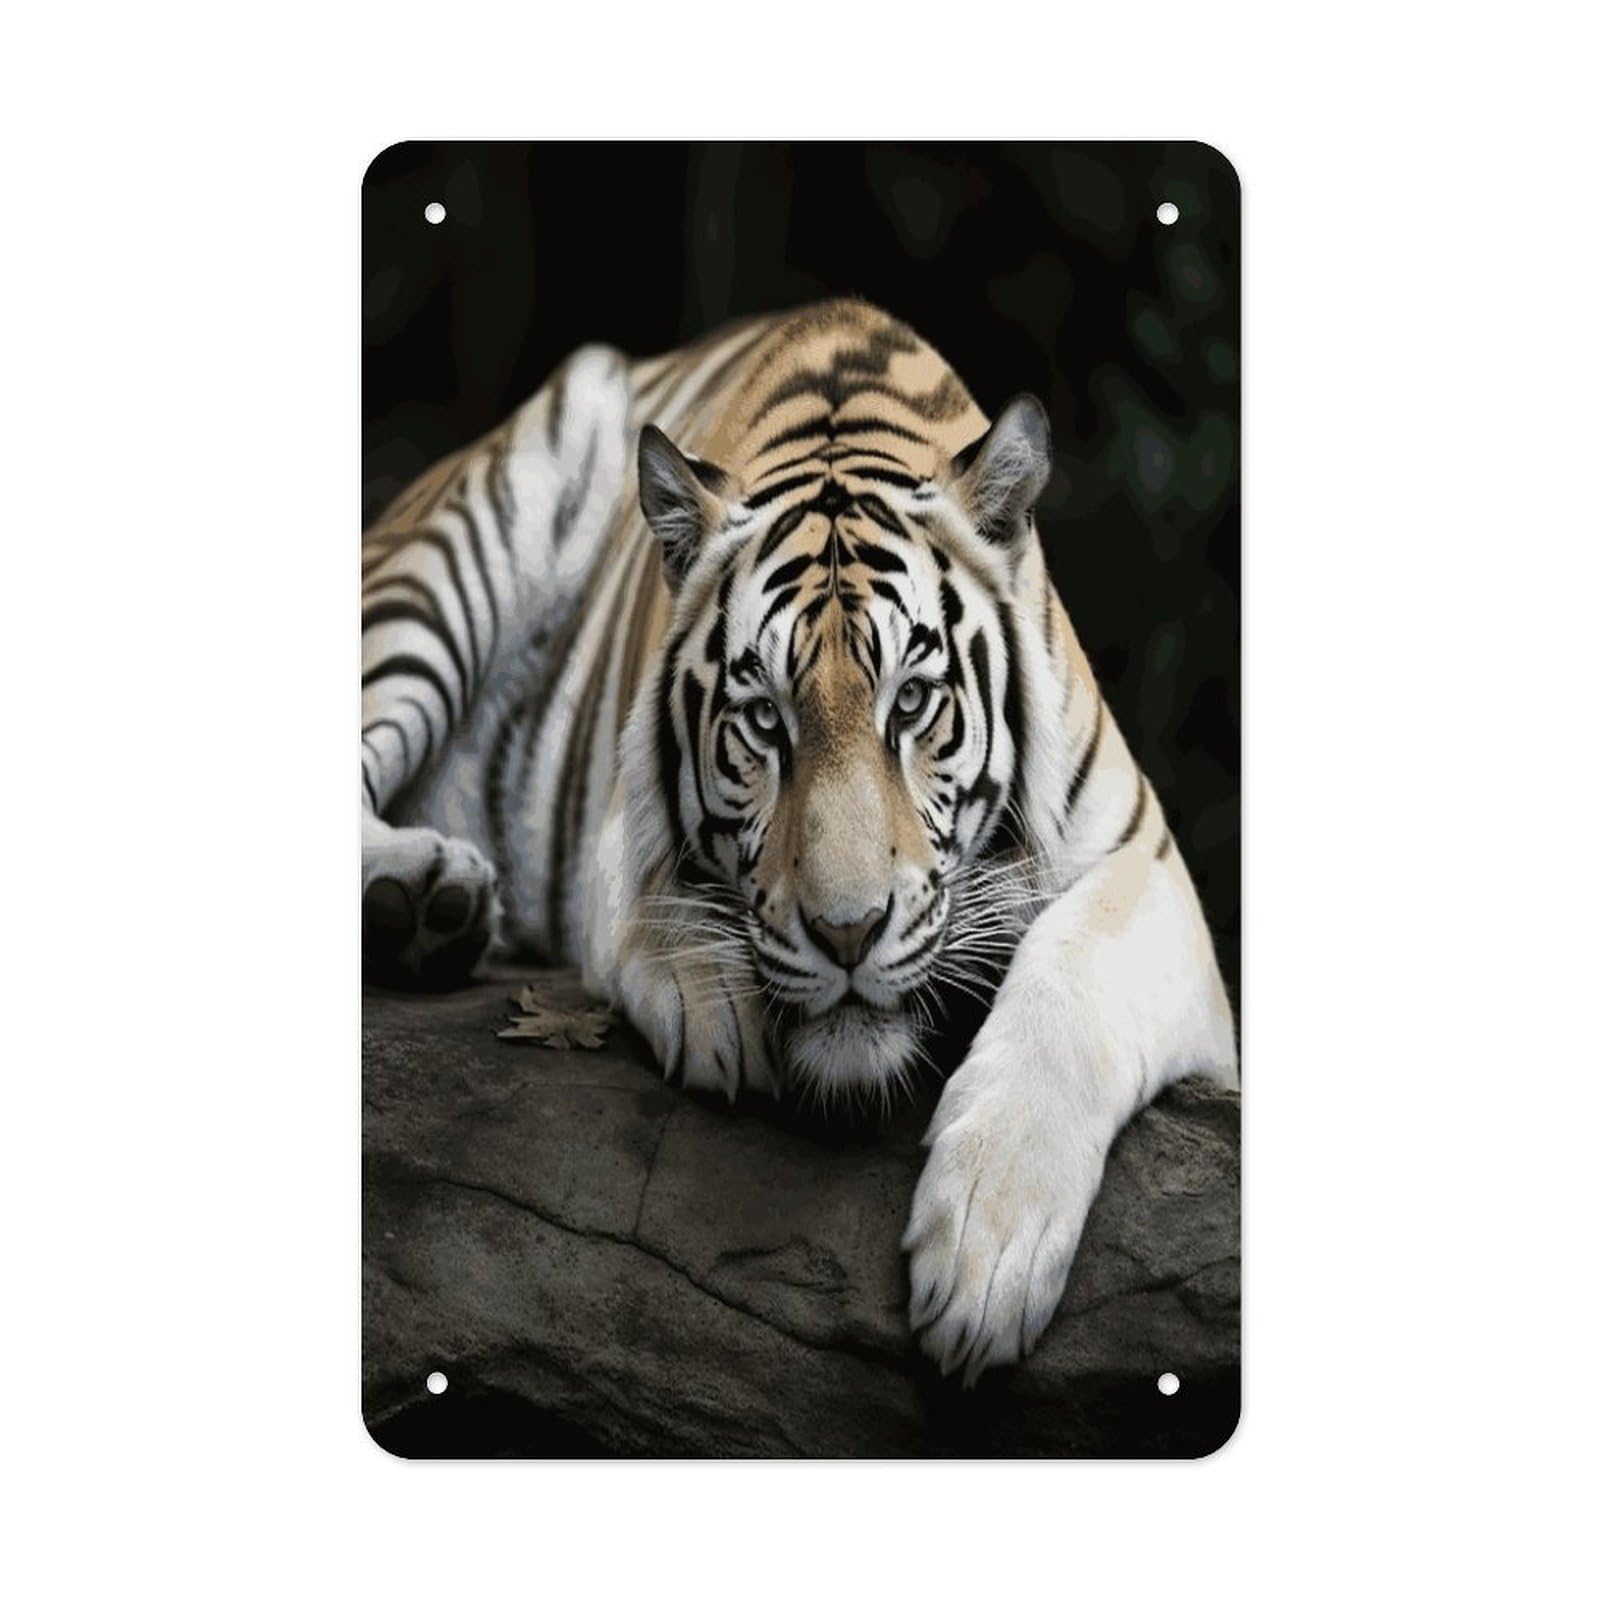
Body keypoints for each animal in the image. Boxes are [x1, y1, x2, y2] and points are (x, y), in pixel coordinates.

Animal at [361, 298, 1237, 1383]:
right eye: (764, 720)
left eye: (912, 702)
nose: (847, 933)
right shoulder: (622, 813)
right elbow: (656, 894)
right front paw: (715, 999)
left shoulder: (1148, 868)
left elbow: (1073, 983)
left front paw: (986, 1250)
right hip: (446, 555)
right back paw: (418, 897)